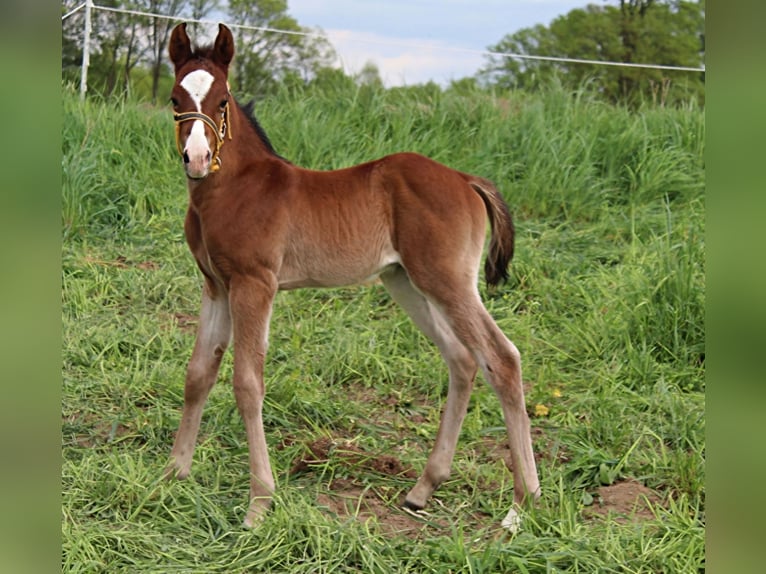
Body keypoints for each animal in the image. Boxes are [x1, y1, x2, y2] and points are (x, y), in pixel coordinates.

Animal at [166, 23, 544, 536]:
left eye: (222, 100)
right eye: (174, 97)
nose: (198, 157)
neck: (235, 188)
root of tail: (464, 178)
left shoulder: (254, 285)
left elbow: (247, 382)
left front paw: (259, 503)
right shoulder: (216, 285)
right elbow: (198, 374)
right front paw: (173, 473)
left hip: (446, 281)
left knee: (501, 359)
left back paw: (521, 504)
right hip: (407, 282)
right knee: (463, 359)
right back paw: (423, 488)